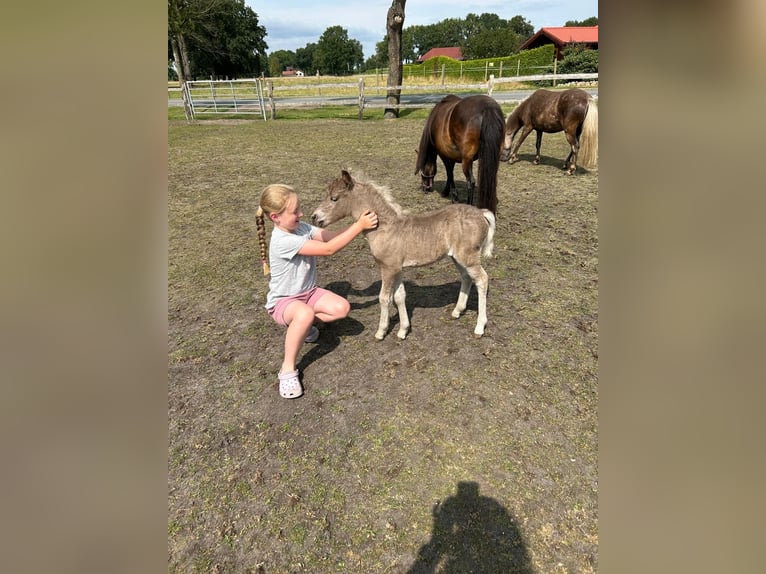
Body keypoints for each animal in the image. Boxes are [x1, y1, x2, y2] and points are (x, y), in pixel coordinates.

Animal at [312, 171, 498, 342]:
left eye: (334, 198)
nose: (314, 217)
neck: (385, 227)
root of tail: (481, 213)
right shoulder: (397, 268)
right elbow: (399, 296)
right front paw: (403, 330)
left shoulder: (388, 268)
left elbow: (384, 298)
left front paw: (381, 331)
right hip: (457, 258)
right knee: (467, 277)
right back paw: (457, 311)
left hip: (468, 256)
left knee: (482, 279)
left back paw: (480, 326)